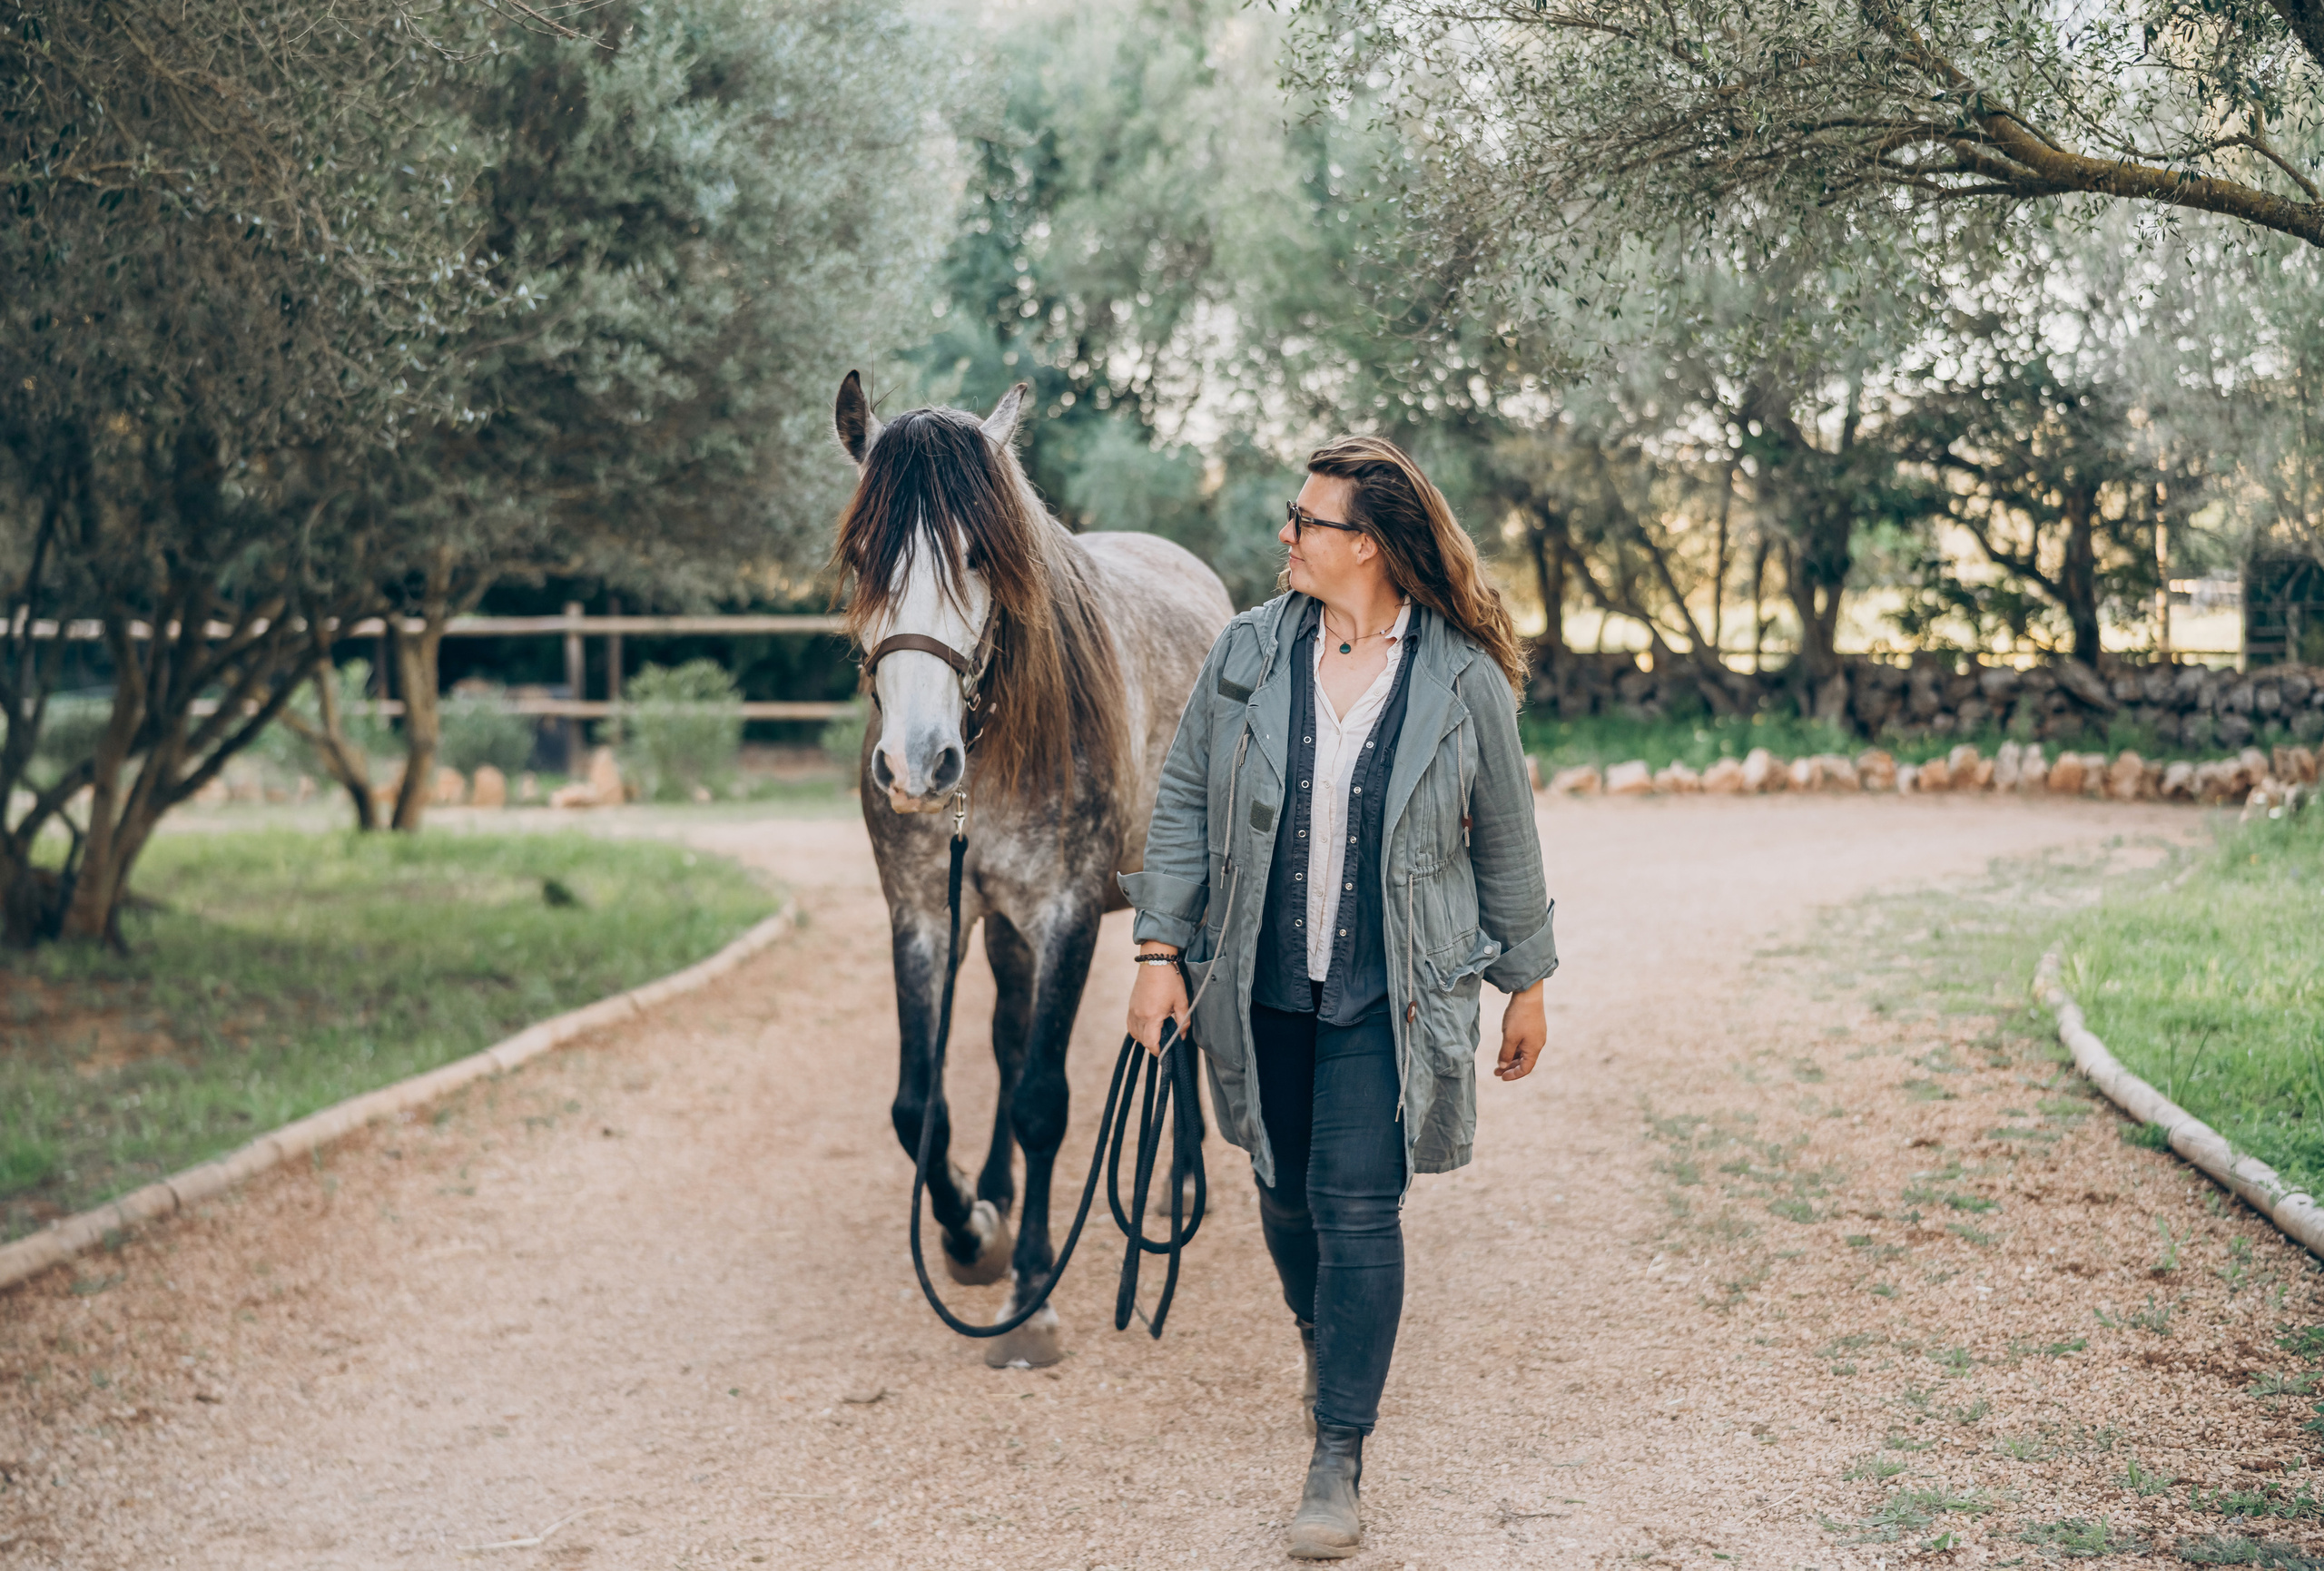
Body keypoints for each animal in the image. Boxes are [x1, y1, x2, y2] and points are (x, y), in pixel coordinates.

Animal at [830, 371, 1234, 1366]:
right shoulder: (926, 915)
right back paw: (1001, 1192)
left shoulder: (1068, 914)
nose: (916, 764)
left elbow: (1044, 1099)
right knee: (1008, 1037)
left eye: (980, 555)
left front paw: (1030, 1296)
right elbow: (919, 1104)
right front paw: (972, 1231)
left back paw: (1174, 1185)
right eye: (863, 557)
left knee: (1177, 1027)